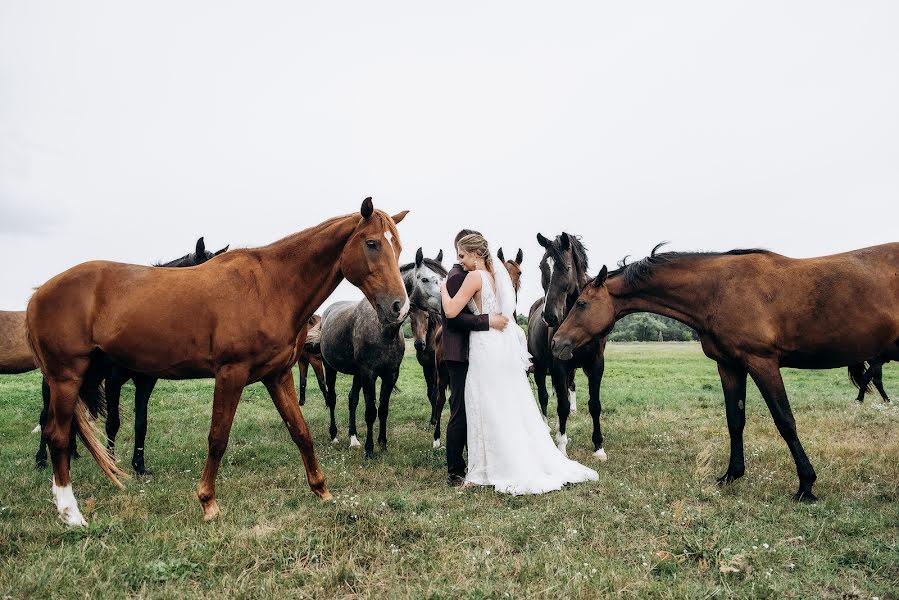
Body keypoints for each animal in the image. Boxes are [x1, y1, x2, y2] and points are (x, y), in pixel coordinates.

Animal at [26, 198, 410, 524]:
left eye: (398, 247)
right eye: (372, 243)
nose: (399, 307)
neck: (270, 285)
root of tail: (39, 293)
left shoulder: (278, 376)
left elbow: (300, 432)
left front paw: (322, 490)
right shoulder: (231, 374)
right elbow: (218, 437)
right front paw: (208, 502)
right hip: (65, 378)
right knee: (57, 434)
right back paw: (71, 513)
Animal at [528, 233, 604, 460]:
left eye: (567, 267)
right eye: (542, 266)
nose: (550, 317)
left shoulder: (596, 364)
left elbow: (594, 405)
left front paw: (599, 447)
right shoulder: (559, 366)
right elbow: (561, 406)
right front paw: (561, 447)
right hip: (540, 367)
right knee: (544, 396)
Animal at [552, 243, 899, 502]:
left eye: (581, 303)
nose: (556, 342)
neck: (719, 288)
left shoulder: (762, 362)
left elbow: (785, 421)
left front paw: (806, 485)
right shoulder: (730, 365)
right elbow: (735, 421)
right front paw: (732, 475)